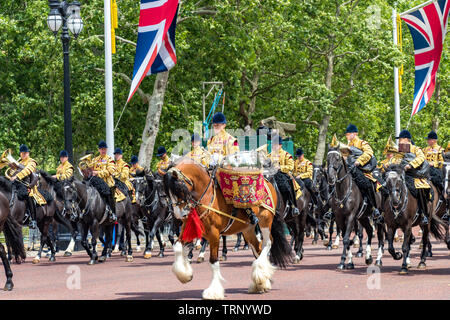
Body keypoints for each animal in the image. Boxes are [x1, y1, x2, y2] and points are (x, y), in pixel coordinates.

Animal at [163, 159, 292, 302]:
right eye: (167, 193)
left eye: (179, 189)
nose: (178, 214)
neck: (207, 196)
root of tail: (268, 182)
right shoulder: (188, 229)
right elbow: (177, 246)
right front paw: (185, 275)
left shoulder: (214, 234)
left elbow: (213, 261)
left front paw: (213, 292)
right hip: (247, 229)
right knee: (257, 247)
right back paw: (262, 282)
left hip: (265, 220)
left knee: (268, 242)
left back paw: (259, 275)